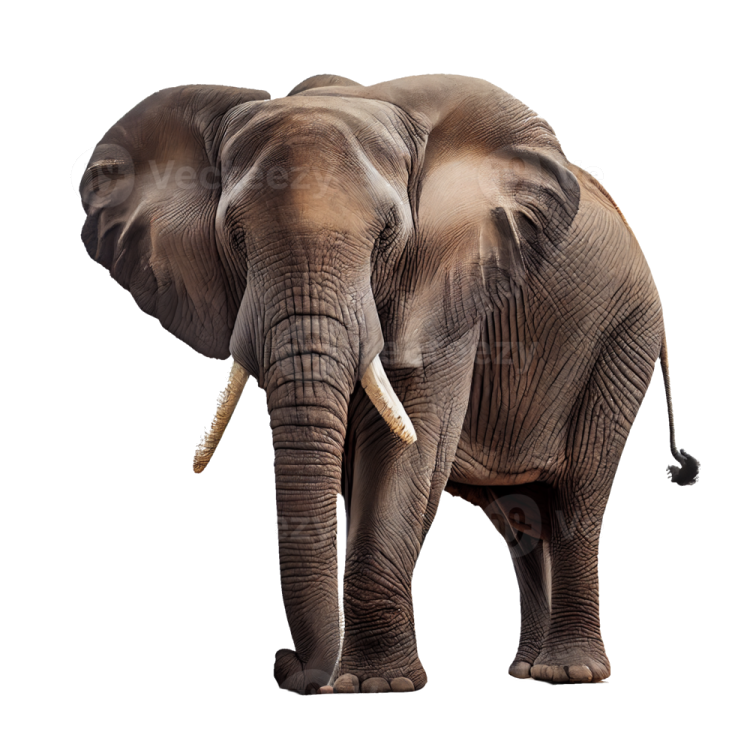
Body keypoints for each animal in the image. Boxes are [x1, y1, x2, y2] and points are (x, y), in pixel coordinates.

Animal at [79, 73, 700, 693]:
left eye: (386, 238)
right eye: (234, 238)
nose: (292, 667)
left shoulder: (448, 287)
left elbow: (408, 447)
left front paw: (378, 686)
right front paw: (351, 682)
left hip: (625, 335)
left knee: (576, 493)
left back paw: (570, 671)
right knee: (518, 519)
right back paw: (527, 669)